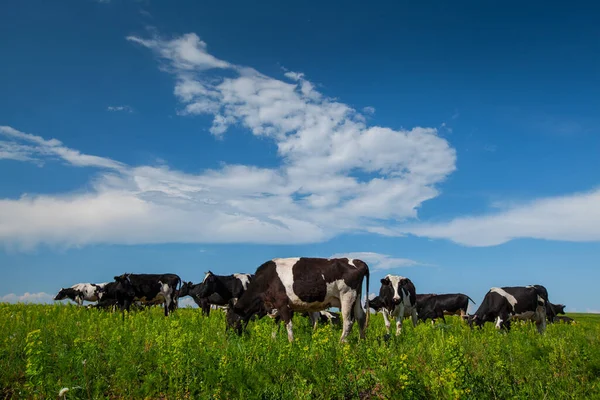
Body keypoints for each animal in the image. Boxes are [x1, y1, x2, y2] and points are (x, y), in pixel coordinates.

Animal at [226, 258, 370, 342]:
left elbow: (288, 325)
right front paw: (273, 342)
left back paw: (341, 343)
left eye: (231, 320)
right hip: (356, 297)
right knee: (361, 317)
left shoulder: (282, 304)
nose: (228, 338)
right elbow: (275, 326)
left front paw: (291, 344)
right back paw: (361, 342)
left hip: (347, 296)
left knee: (348, 321)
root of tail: (358, 261)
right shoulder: (277, 306)